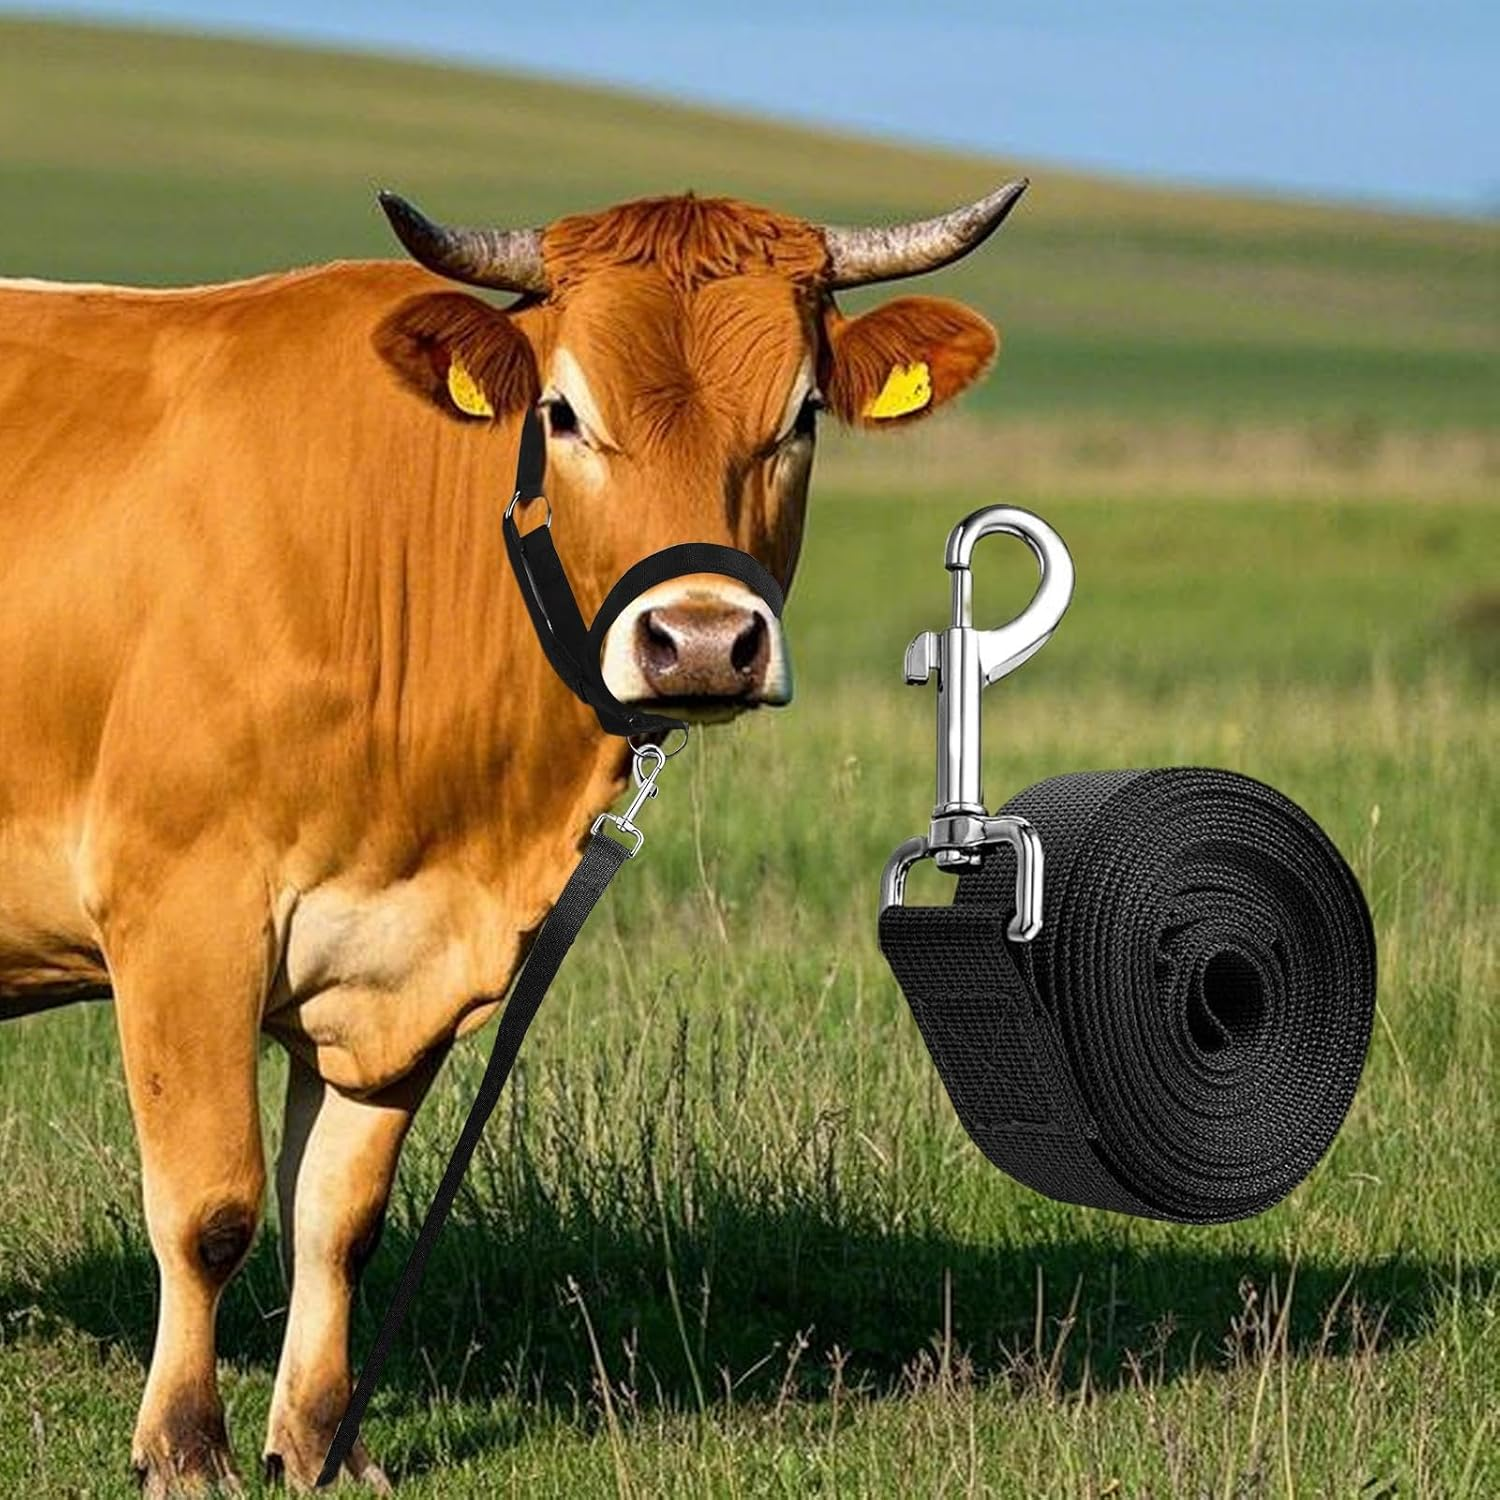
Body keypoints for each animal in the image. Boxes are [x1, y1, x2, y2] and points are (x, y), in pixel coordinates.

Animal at [0, 179, 1025, 1493]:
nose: (701, 642)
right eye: (563, 411)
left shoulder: (406, 951)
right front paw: (184, 1447)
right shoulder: (182, 911)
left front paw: (322, 1441)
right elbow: (210, 1207)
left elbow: (339, 1218)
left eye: (800, 415)